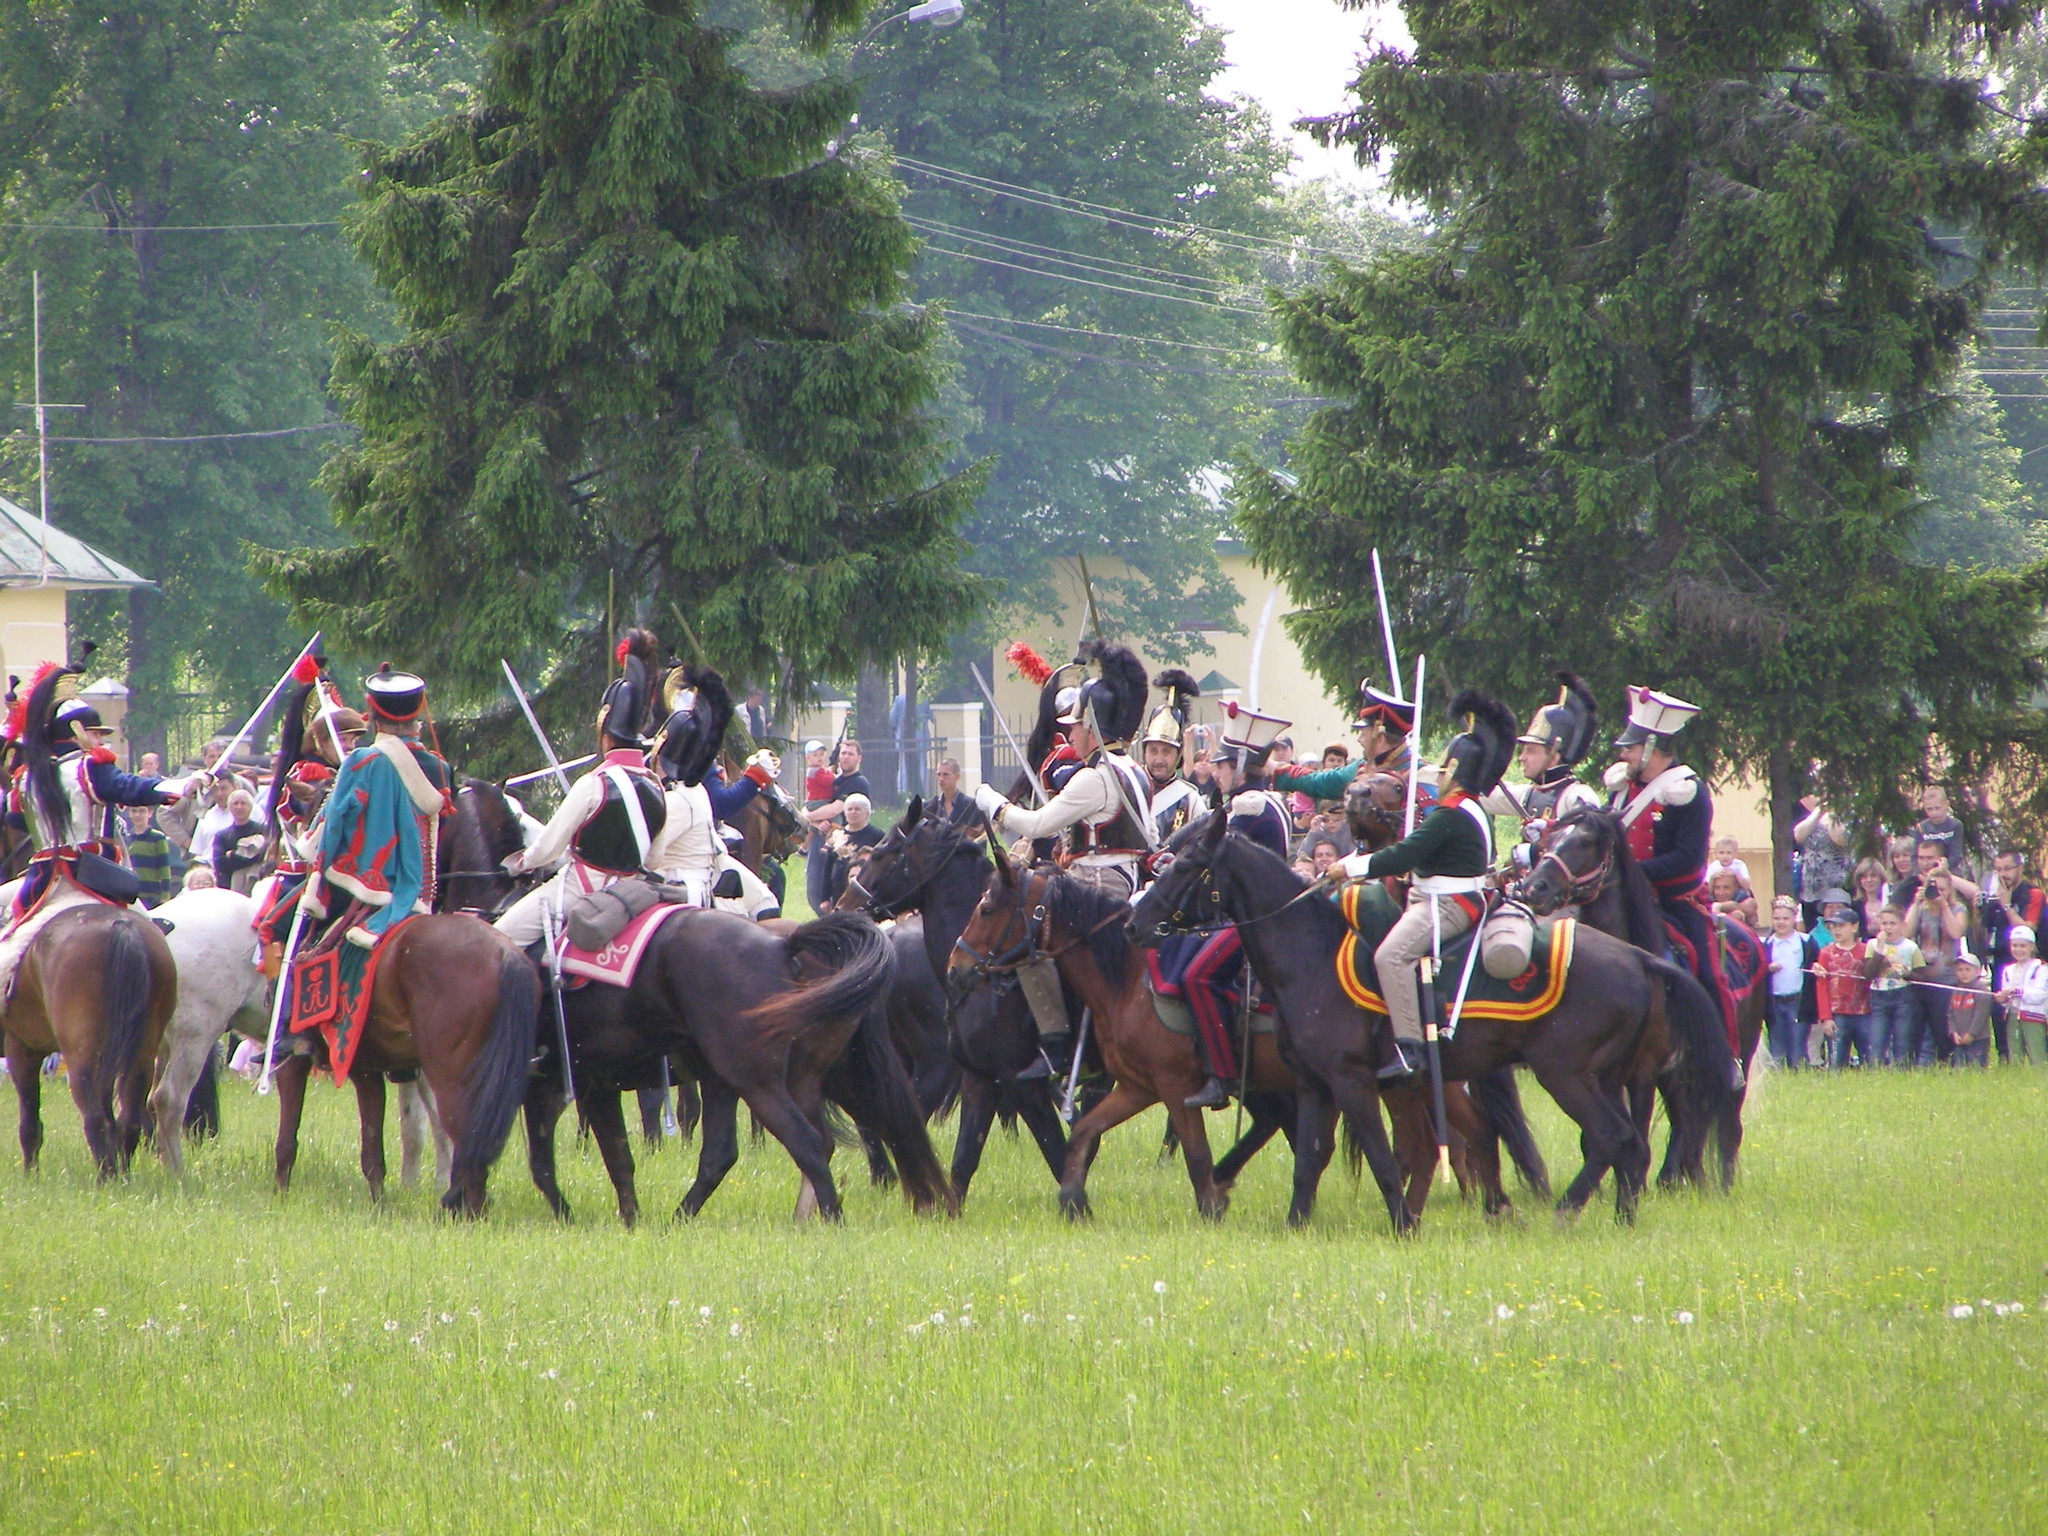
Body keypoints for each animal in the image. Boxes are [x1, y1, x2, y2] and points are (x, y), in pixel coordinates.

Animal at [3, 901, 177, 1179]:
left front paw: (31, 1176)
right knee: (127, 1120)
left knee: (95, 1119)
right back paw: (121, 1178)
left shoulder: (21, 1048)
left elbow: (29, 1123)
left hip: (81, 1057)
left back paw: (105, 1179)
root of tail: (120, 927)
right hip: (139, 1054)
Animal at [147, 884, 448, 1187]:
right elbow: (437, 1124)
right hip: (196, 1035)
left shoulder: (409, 1065)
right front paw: (438, 1183)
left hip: (168, 1042)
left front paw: (412, 1185)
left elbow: (415, 1127)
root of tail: (160, 924)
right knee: (169, 1099)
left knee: (153, 1099)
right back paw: (178, 1174)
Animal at [1130, 819, 1736, 1228]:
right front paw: (1296, 1224)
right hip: (1602, 1078)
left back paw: (1562, 1212)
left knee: (1614, 1138)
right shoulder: (1313, 1084)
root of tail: (1638, 957)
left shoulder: (1352, 1082)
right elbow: (1309, 1160)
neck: (1310, 952)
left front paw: (1403, 1224)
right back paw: (1615, 1217)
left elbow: (1378, 1155)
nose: (1136, 923)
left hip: (1567, 1075)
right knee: (1625, 1145)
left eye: (1186, 866)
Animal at [1523, 806, 1761, 1187]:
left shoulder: (1644, 1070)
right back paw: (1679, 1177)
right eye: (1548, 840)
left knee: (1727, 1124)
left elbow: (1640, 1129)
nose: (1534, 887)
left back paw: (1716, 1181)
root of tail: (1753, 937)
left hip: (1737, 1054)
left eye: (1585, 841)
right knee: (1687, 1118)